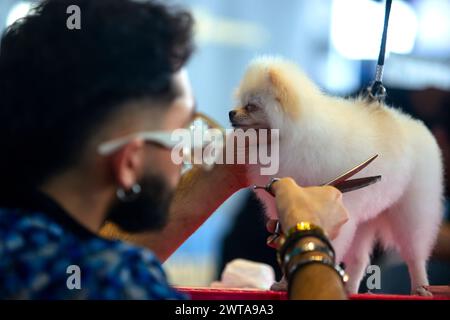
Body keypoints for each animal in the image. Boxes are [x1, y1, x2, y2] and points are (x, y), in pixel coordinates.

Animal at [230, 55, 444, 296]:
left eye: (251, 106)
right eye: (240, 102)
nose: (231, 113)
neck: (294, 137)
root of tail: (418, 127)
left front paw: (288, 282)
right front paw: (284, 282)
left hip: (410, 212)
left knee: (415, 255)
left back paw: (420, 287)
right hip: (364, 222)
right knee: (360, 260)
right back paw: (350, 289)